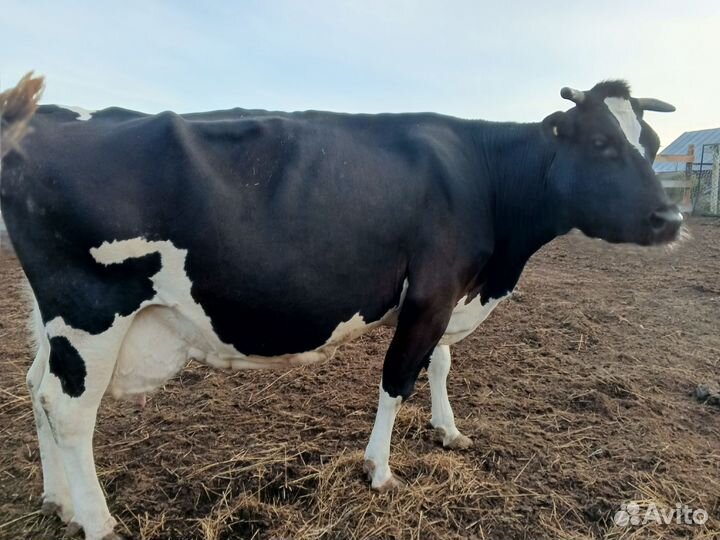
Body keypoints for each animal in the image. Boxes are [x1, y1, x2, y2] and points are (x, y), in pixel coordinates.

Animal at [0, 73, 680, 540]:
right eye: (602, 142)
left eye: (650, 143)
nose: (671, 218)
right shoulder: (432, 290)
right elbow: (399, 378)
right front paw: (379, 470)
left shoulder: (449, 295)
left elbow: (440, 364)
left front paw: (448, 430)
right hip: (92, 309)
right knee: (68, 408)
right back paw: (98, 521)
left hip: (56, 318)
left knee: (35, 387)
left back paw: (59, 502)